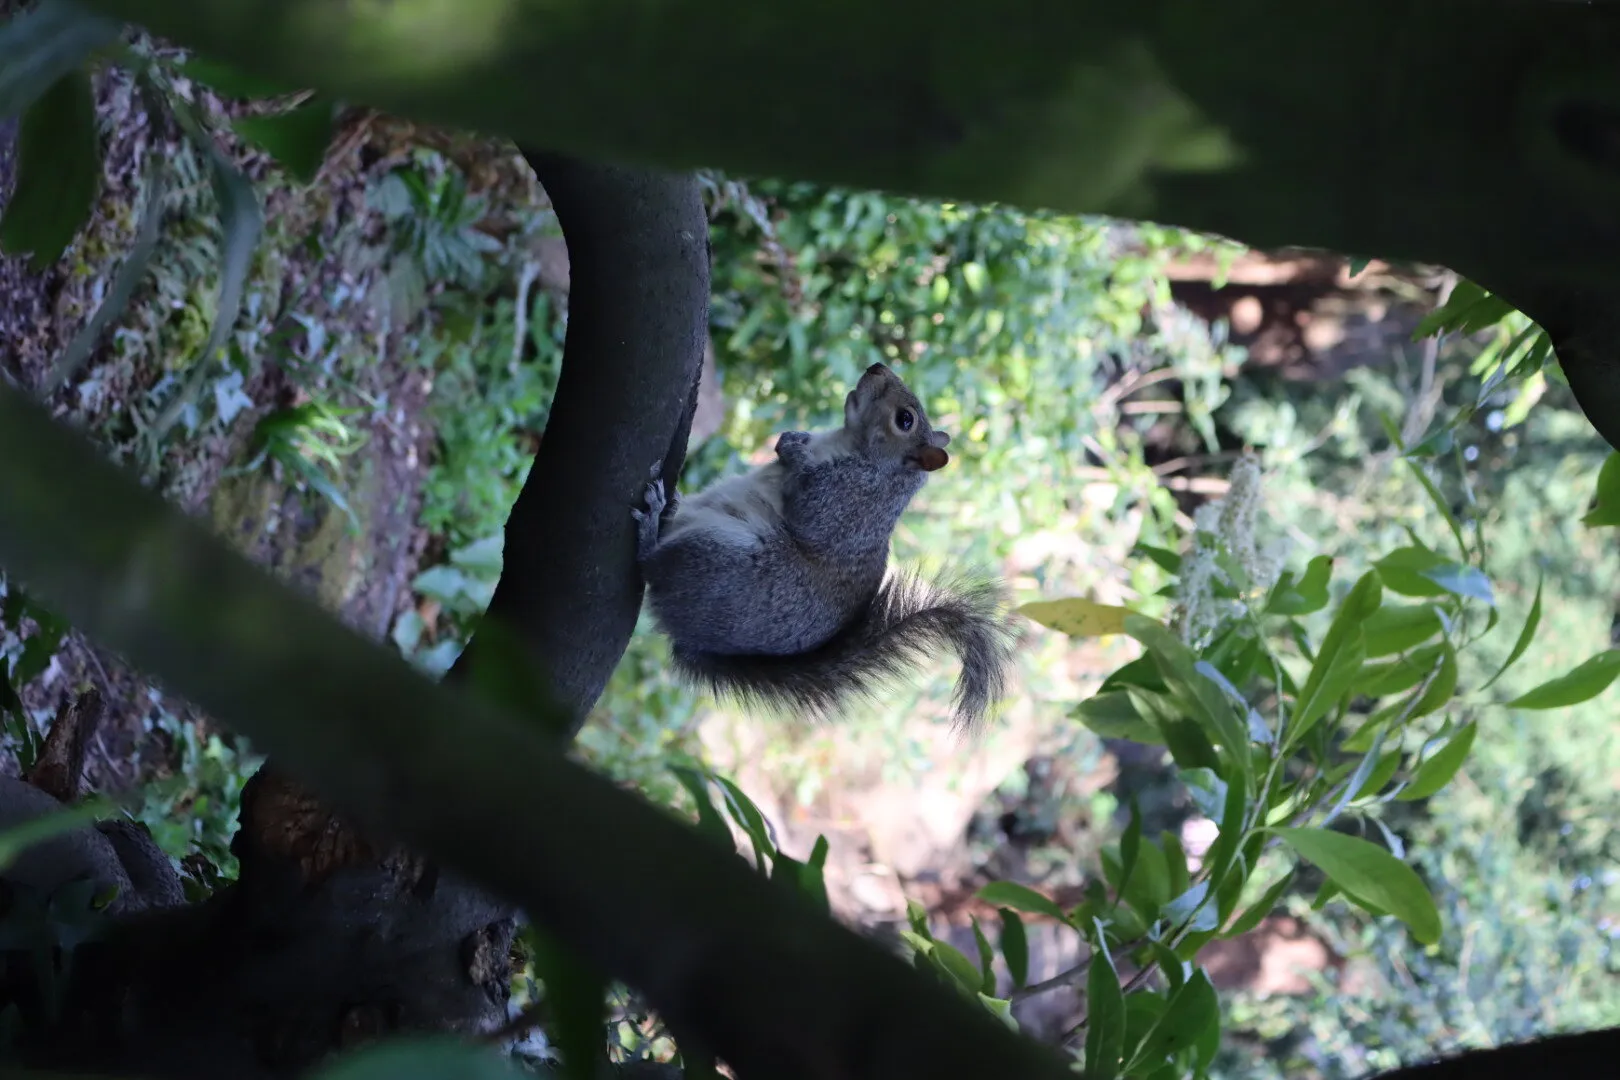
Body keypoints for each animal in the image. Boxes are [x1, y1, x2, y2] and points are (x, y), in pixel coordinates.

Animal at [631, 361, 1016, 730]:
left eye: (905, 420)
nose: (876, 367)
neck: (853, 450)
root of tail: (690, 636)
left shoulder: (844, 504)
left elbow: (808, 508)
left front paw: (792, 451)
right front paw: (792, 437)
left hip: (717, 556)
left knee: (649, 566)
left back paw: (651, 526)